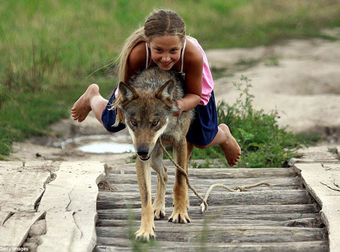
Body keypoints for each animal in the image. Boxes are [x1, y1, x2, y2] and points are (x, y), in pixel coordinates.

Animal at [117, 66, 193, 240]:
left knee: (183, 173)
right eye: (134, 123)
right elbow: (145, 198)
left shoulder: (180, 142)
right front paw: (146, 230)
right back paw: (158, 208)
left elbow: (179, 181)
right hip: (153, 157)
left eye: (155, 122)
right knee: (164, 173)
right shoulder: (142, 158)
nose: (142, 151)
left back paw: (183, 204)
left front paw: (179, 213)